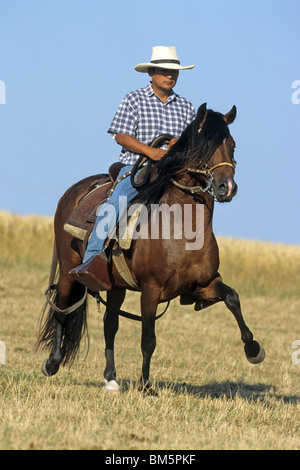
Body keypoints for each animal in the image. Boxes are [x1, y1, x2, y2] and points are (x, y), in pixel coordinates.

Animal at [37, 103, 264, 392]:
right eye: (205, 147)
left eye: (232, 146)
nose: (227, 187)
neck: (181, 229)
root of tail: (71, 193)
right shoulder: (150, 289)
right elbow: (148, 339)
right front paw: (146, 386)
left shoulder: (204, 284)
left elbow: (233, 298)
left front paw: (254, 349)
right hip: (69, 268)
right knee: (63, 308)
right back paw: (52, 362)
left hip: (115, 285)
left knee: (109, 324)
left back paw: (111, 378)